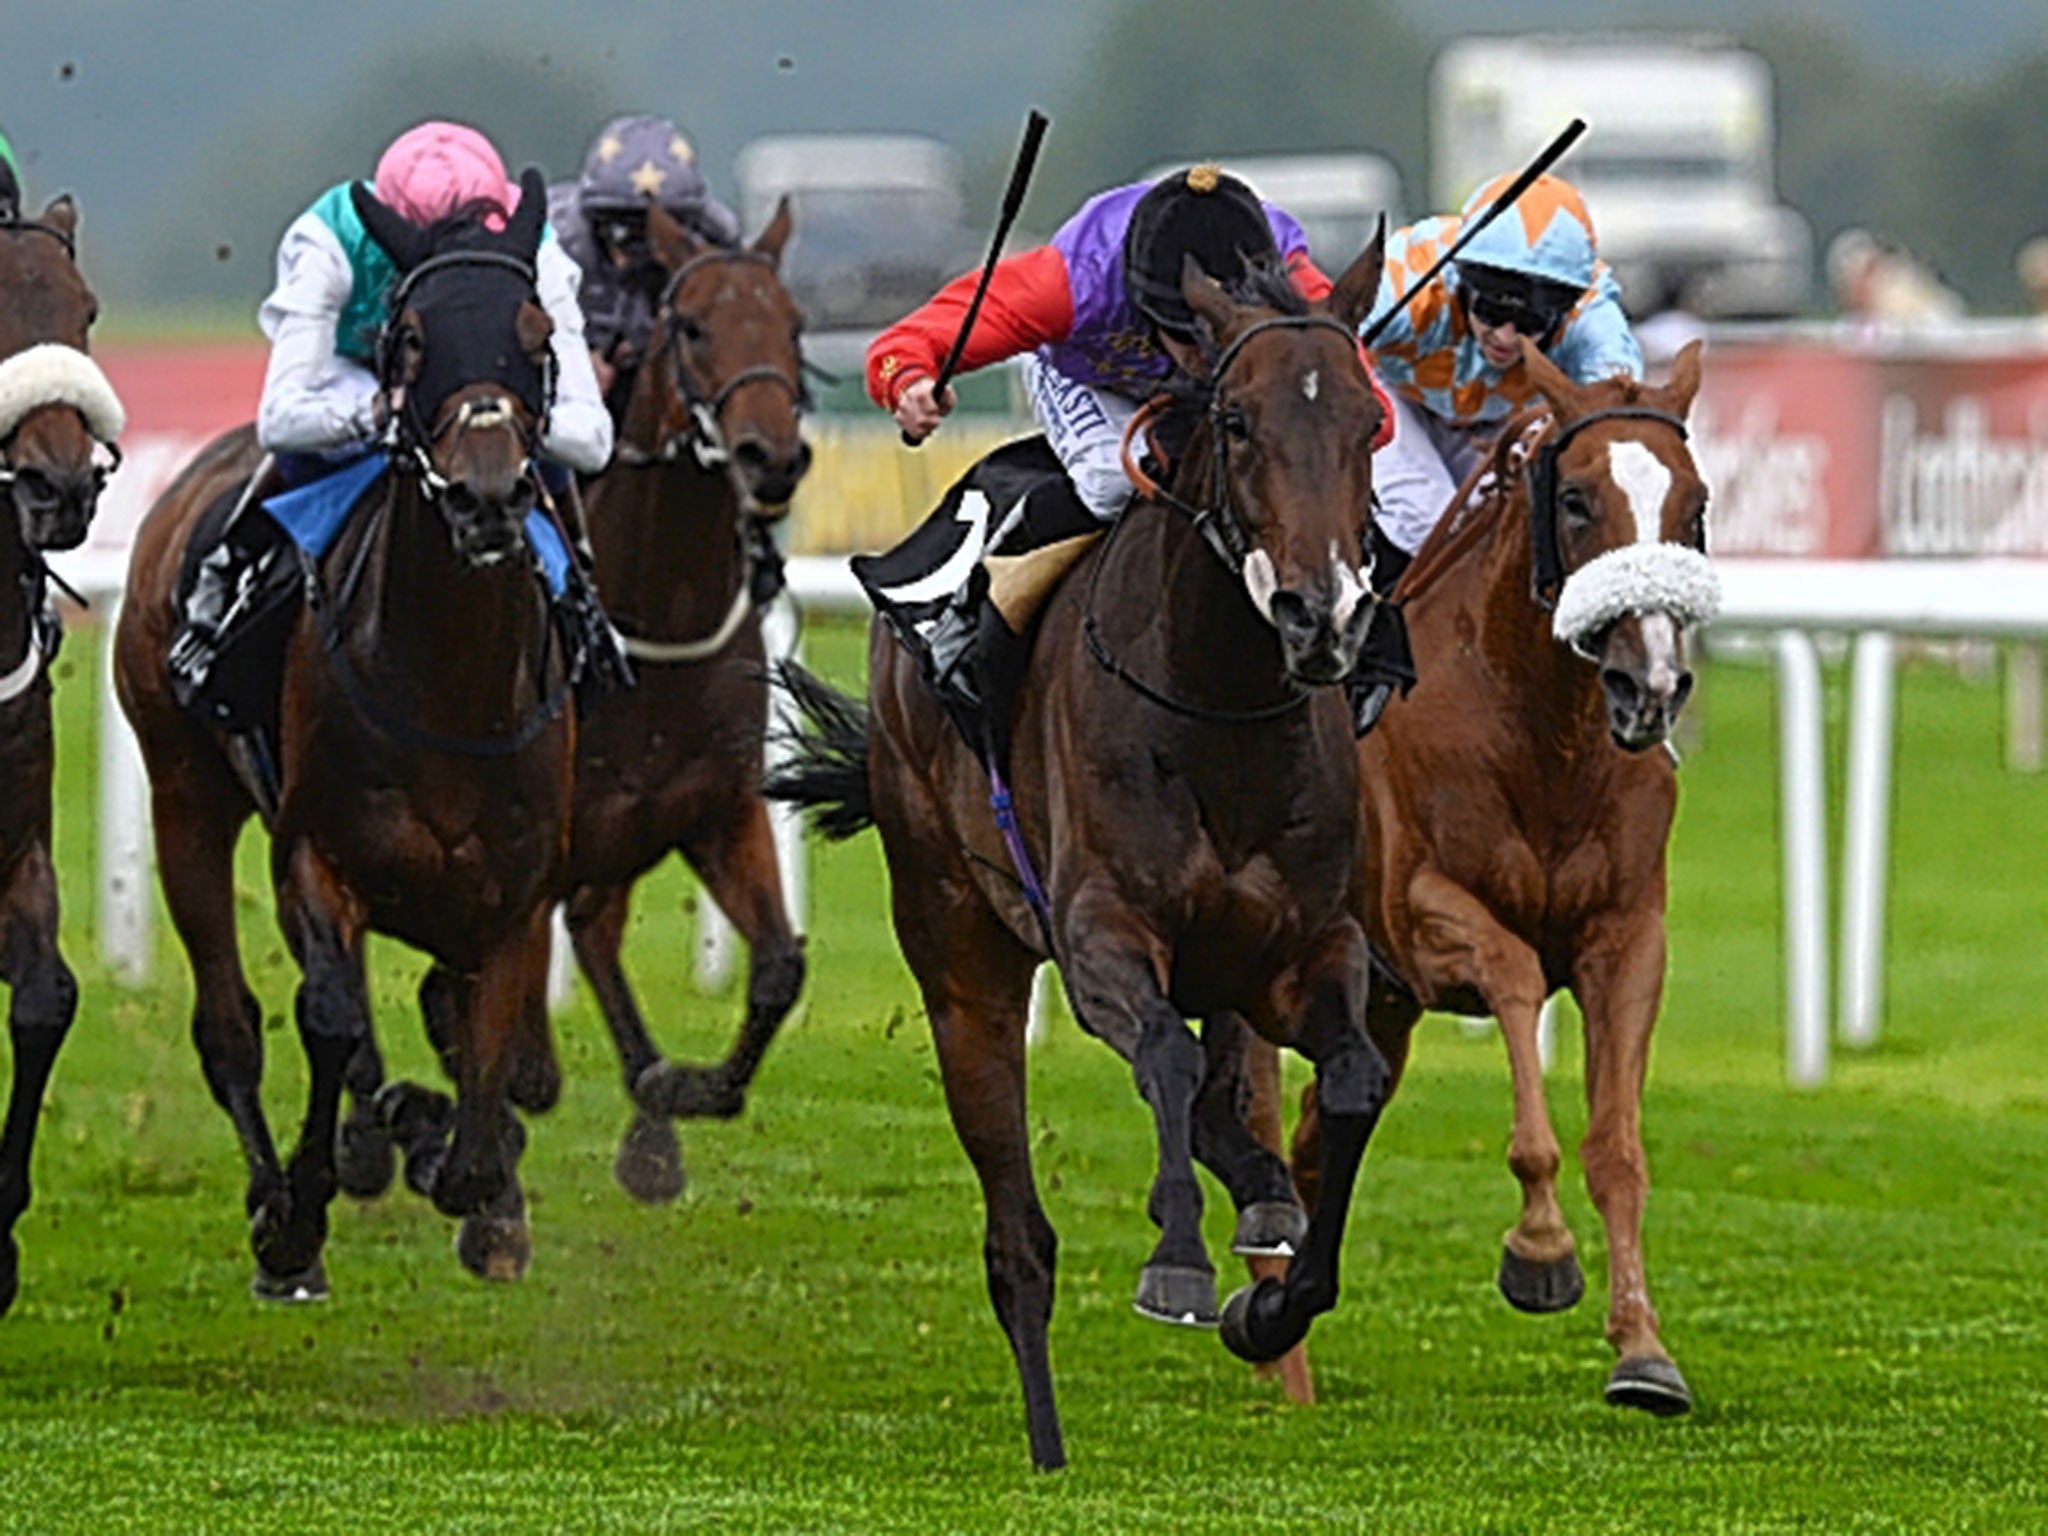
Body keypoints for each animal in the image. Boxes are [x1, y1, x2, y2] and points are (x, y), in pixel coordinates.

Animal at [116, 167, 573, 1302]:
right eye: (409, 336)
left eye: (538, 329)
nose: (487, 496)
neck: (452, 685)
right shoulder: (316, 855)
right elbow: (329, 1023)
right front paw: (301, 1217)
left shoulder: (517, 887)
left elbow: (482, 1035)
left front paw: (485, 1193)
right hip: (184, 793)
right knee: (232, 1025)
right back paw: (285, 1191)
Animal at [774, 246, 1400, 1474]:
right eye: (1239, 422)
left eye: (1367, 421)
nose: (1322, 619)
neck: (1219, 710)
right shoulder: (1102, 935)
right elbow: (1160, 1058)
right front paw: (1180, 1267)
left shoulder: (1307, 946)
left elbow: (1349, 1080)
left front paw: (1271, 1303)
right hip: (961, 958)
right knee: (1019, 1235)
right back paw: (1048, 1438)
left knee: (1221, 1083)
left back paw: (1258, 1200)